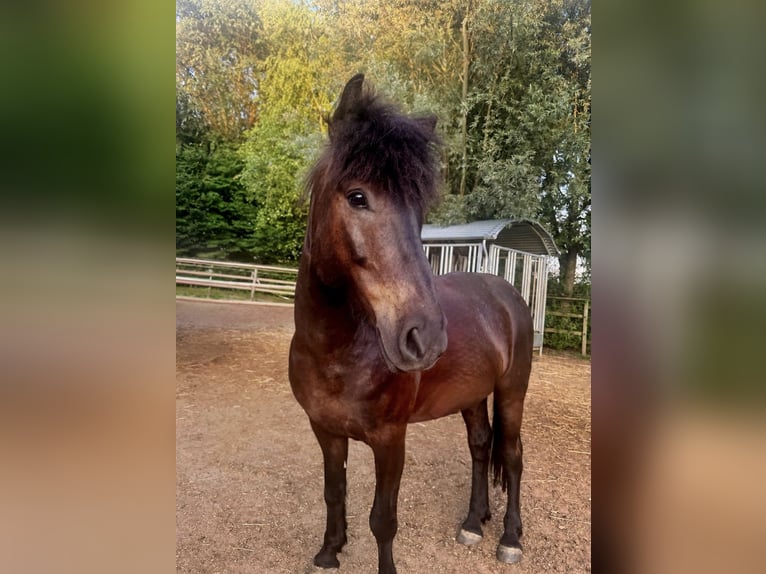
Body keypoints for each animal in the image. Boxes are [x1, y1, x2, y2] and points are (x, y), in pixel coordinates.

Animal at [288, 74, 533, 574]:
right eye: (357, 196)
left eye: (419, 209)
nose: (425, 338)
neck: (335, 353)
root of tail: (506, 293)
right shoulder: (325, 432)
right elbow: (334, 493)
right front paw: (328, 552)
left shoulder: (390, 440)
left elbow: (383, 520)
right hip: (473, 396)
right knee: (480, 446)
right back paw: (473, 523)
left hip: (512, 392)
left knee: (512, 457)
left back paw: (510, 538)